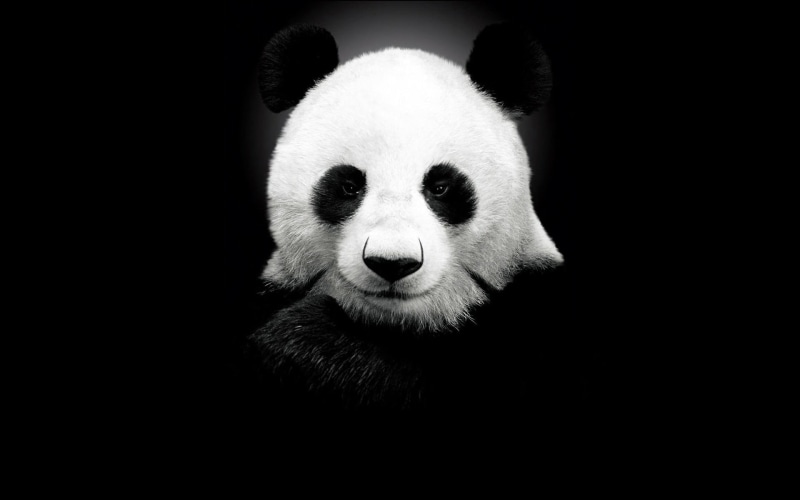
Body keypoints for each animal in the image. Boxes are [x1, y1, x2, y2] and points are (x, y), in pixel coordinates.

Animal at [245, 23, 568, 414]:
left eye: (441, 187)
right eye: (349, 186)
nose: (393, 263)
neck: (398, 324)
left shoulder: (533, 313)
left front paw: (304, 341)